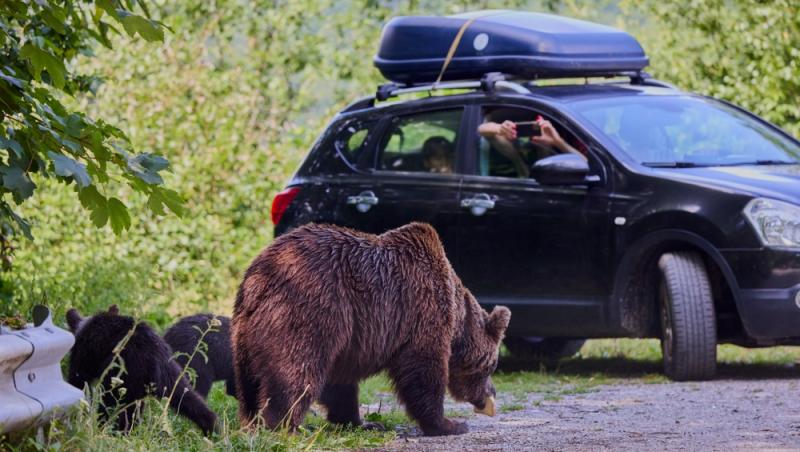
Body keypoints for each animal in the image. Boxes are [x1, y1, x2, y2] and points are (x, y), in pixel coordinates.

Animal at [66, 304, 217, 434]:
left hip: (123, 374)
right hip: (170, 374)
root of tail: (153, 356)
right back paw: (213, 432)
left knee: (112, 406)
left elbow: (78, 381)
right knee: (189, 399)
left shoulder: (83, 357)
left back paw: (107, 430)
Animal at [231, 224, 510, 436]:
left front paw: (363, 423)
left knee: (249, 383)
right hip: (308, 311)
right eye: (491, 366)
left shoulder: (349, 339)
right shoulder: (422, 312)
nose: (492, 392)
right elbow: (422, 370)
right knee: (296, 371)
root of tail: (259, 280)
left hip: (244, 333)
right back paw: (285, 427)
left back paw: (251, 422)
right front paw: (450, 424)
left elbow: (340, 384)